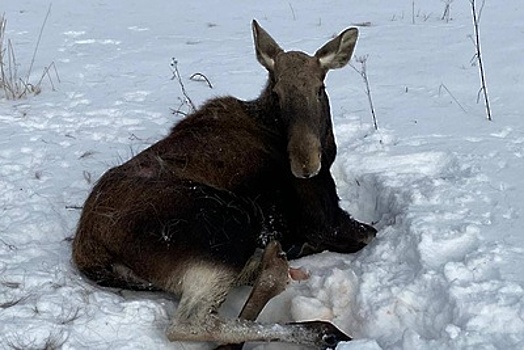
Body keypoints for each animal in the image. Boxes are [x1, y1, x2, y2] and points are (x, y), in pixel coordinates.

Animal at [72, 20, 376, 348]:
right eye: (277, 93)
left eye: (320, 89)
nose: (305, 166)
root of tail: (88, 250)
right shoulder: (329, 222)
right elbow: (367, 233)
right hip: (230, 222)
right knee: (191, 323)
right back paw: (317, 324)